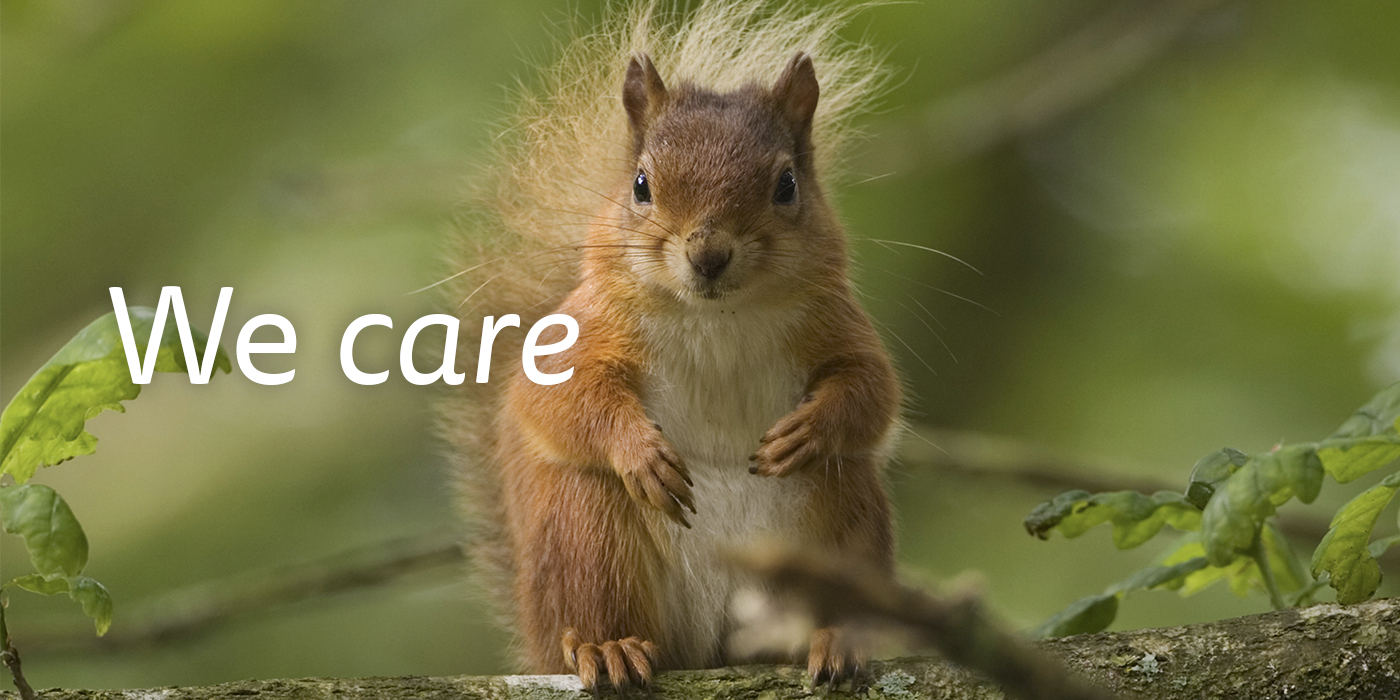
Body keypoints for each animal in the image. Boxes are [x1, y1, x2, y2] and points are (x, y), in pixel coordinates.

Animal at [444, 0, 900, 691]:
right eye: (640, 185)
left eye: (787, 185)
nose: (708, 254)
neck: (715, 316)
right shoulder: (583, 330)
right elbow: (553, 397)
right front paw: (640, 452)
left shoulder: (837, 323)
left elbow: (872, 388)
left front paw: (812, 430)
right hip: (588, 532)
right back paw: (607, 647)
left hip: (843, 513)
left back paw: (836, 637)